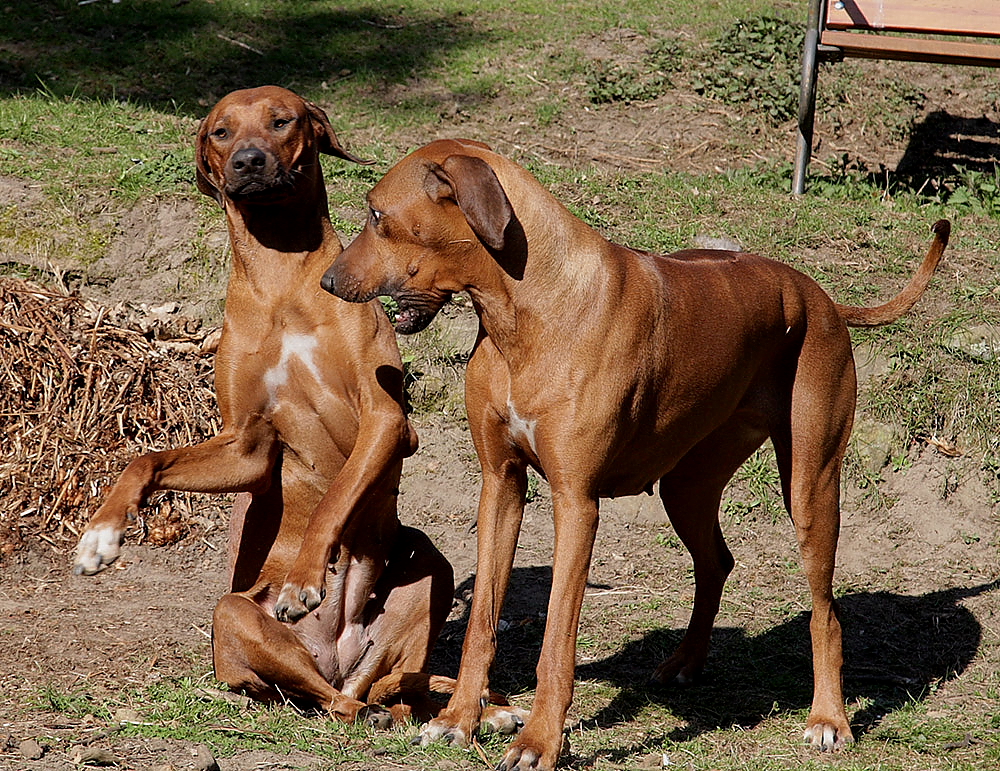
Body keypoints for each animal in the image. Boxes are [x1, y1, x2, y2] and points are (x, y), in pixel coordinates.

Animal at [72, 87, 456, 728]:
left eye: (282, 121)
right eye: (221, 131)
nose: (248, 161)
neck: (280, 278)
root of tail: (336, 650)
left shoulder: (388, 421)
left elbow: (334, 497)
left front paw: (302, 579)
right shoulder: (246, 445)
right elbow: (145, 459)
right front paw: (101, 535)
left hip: (430, 565)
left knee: (388, 690)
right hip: (233, 614)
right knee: (335, 700)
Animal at [316, 140, 948, 771]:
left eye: (376, 215)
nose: (326, 280)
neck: (526, 312)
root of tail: (822, 296)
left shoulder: (576, 503)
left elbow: (557, 640)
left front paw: (539, 742)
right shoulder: (501, 483)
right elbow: (481, 620)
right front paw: (459, 720)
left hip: (811, 486)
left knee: (826, 613)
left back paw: (828, 718)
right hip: (687, 486)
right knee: (717, 561)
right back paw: (687, 660)